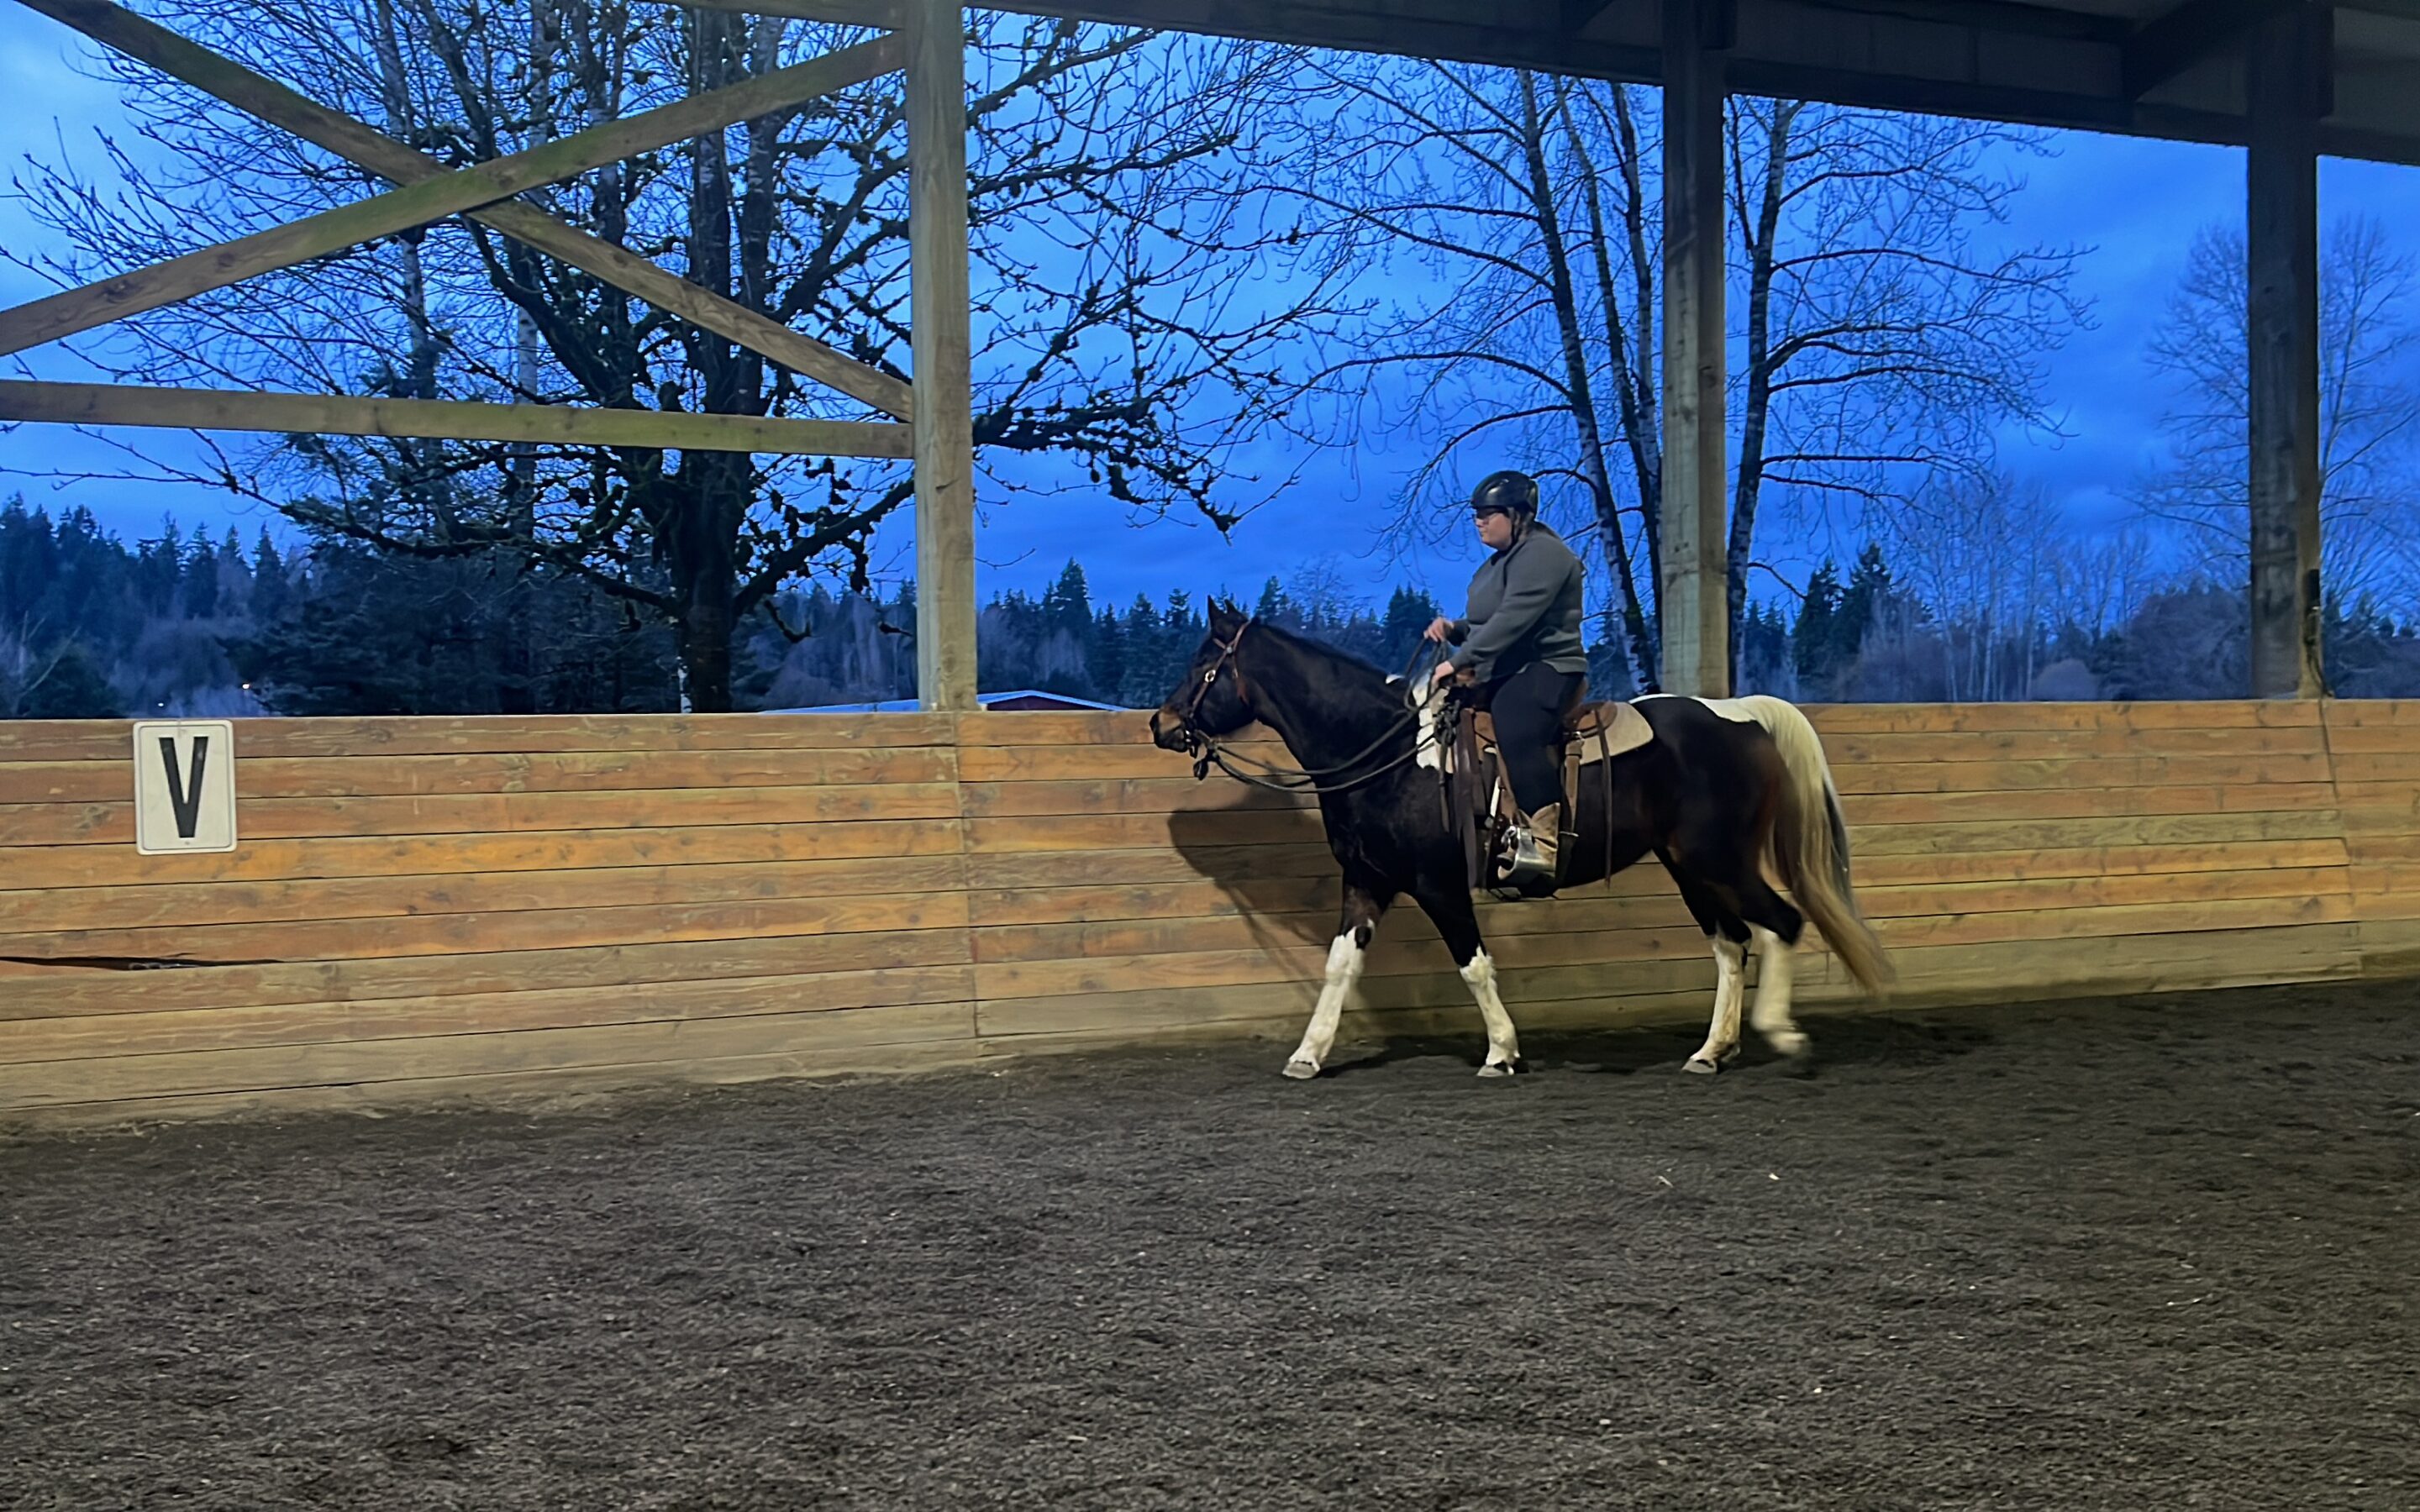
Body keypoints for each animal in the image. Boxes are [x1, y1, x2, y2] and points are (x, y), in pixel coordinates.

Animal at [1142, 595, 1897, 1079]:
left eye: (1205, 665)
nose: (1161, 724)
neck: (1388, 752)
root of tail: (1740, 714)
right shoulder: (1368, 881)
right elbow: (1339, 966)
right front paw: (1309, 1053)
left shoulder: (1439, 885)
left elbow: (1473, 965)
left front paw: (1501, 1052)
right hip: (1690, 866)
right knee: (1731, 944)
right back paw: (1713, 1051)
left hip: (1721, 859)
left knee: (1781, 924)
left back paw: (1782, 1036)